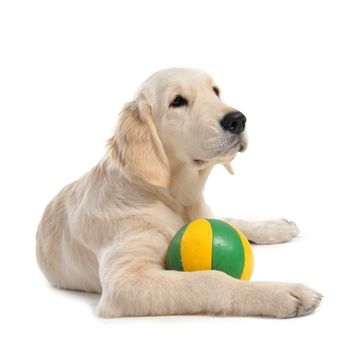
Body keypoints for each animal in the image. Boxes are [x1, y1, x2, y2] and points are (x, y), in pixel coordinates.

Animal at [36, 67, 322, 318]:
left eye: (215, 91)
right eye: (177, 101)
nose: (238, 120)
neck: (170, 196)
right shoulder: (125, 281)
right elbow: (211, 279)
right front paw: (279, 292)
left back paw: (277, 226)